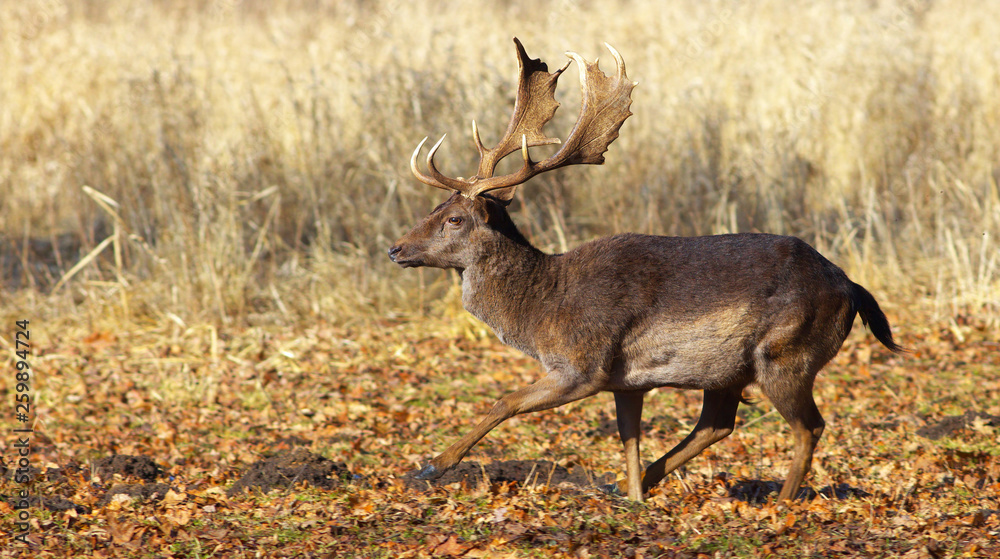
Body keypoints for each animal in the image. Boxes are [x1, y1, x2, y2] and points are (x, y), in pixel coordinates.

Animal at [388, 38, 903, 503]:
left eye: (455, 218)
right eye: (436, 207)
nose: (396, 249)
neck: (542, 310)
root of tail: (851, 287)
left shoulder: (584, 364)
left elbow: (506, 401)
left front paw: (433, 464)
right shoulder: (626, 381)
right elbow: (628, 435)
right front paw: (634, 494)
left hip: (785, 353)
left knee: (808, 426)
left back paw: (783, 503)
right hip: (728, 370)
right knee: (718, 424)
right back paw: (644, 485)